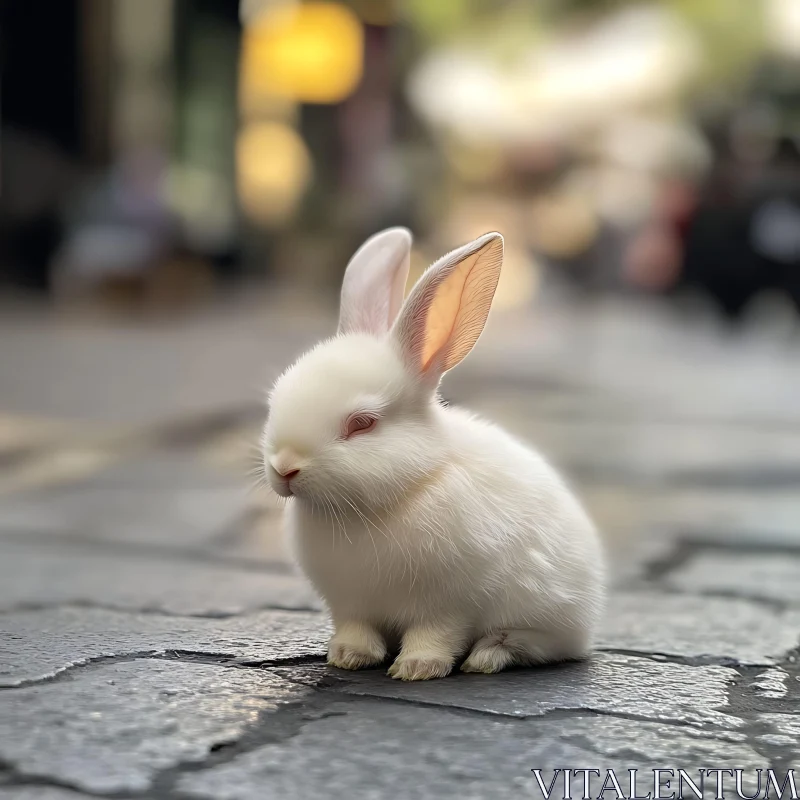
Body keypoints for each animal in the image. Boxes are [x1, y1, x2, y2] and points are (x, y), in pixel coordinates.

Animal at [262, 227, 608, 680]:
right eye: (275, 398)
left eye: (362, 423)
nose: (285, 468)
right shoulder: (351, 606)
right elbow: (357, 630)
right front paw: (349, 657)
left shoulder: (447, 604)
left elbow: (436, 634)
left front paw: (416, 668)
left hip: (545, 615)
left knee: (528, 643)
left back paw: (486, 657)